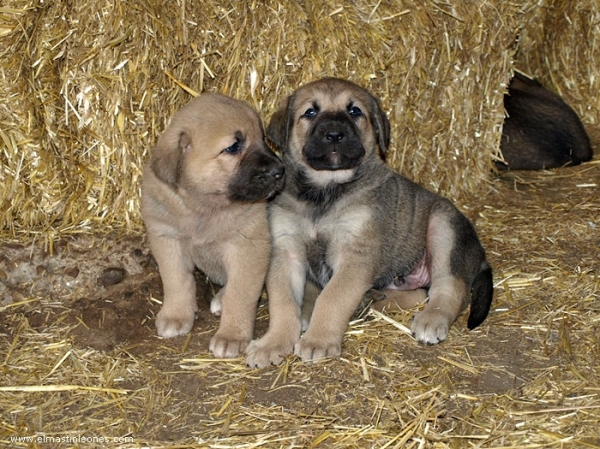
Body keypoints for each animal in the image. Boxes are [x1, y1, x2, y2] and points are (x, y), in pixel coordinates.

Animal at [141, 93, 284, 356]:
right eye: (234, 147)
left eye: (262, 138)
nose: (280, 170)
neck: (204, 208)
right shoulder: (167, 239)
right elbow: (176, 280)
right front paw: (176, 315)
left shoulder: (248, 247)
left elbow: (240, 294)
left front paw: (231, 336)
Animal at [244, 79, 492, 368]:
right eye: (310, 112)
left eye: (354, 111)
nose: (335, 134)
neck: (324, 193)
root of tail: (480, 257)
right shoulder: (286, 251)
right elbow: (283, 304)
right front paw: (272, 343)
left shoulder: (355, 253)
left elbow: (332, 297)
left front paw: (318, 340)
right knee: (419, 293)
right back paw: (372, 300)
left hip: (444, 228)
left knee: (450, 288)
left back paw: (431, 319)